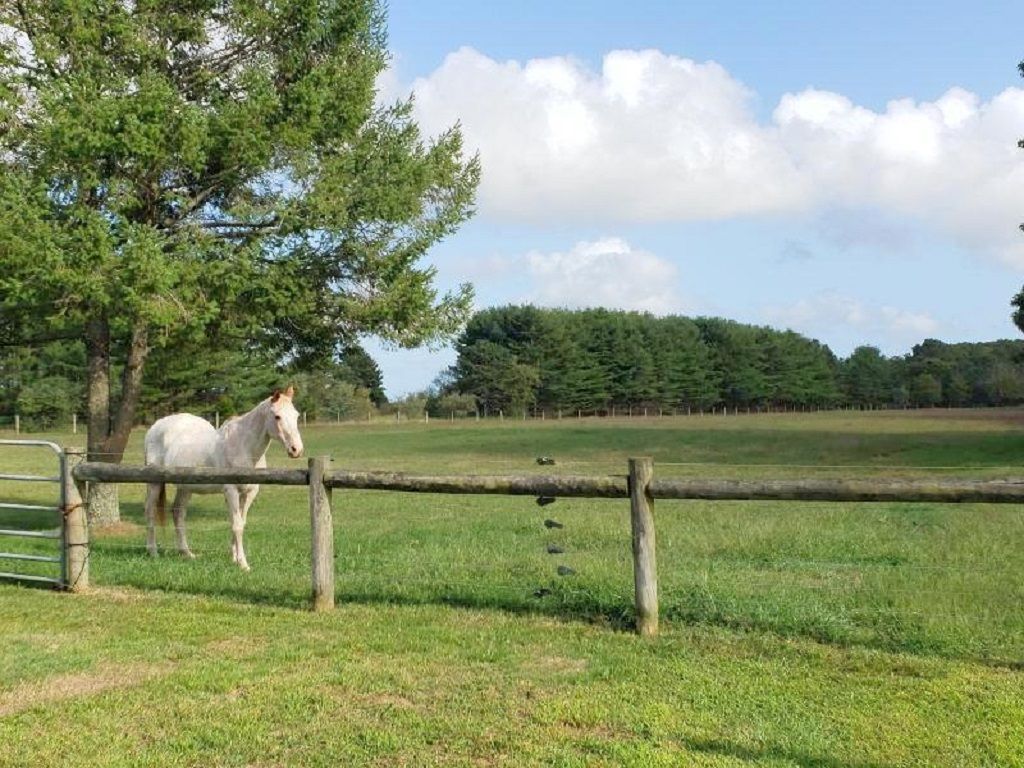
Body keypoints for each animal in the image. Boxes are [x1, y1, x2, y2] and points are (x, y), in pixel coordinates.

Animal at [143, 386, 304, 571]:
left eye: (296, 415)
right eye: (277, 416)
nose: (296, 450)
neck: (243, 446)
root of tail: (154, 427)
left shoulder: (249, 492)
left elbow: (239, 522)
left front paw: (234, 558)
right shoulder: (231, 490)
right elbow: (237, 525)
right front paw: (243, 564)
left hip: (185, 487)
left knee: (178, 513)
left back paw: (187, 553)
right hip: (154, 483)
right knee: (150, 511)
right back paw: (153, 552)